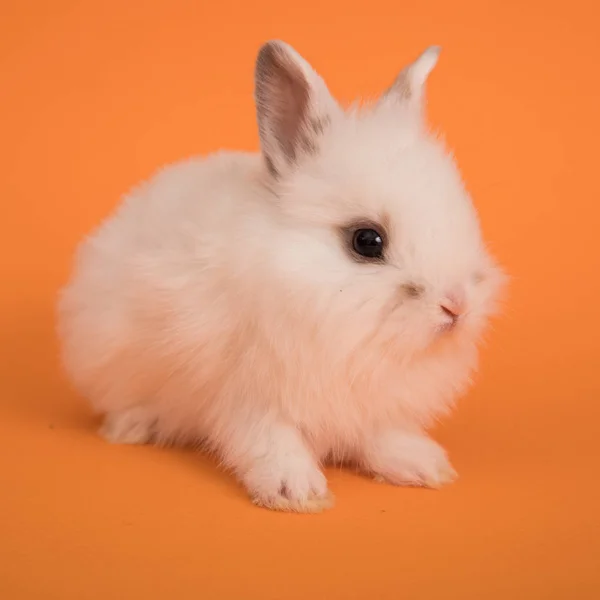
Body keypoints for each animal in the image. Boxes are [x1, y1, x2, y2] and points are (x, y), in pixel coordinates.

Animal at [56, 41, 506, 510]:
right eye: (367, 240)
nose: (457, 306)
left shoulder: (368, 403)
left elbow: (378, 434)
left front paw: (423, 465)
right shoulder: (250, 398)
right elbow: (270, 441)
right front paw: (296, 492)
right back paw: (135, 426)